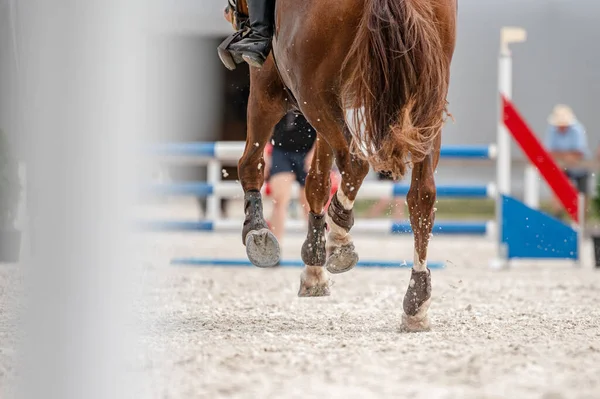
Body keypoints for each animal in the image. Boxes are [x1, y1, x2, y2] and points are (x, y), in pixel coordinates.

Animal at [224, 0, 454, 332]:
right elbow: (318, 181)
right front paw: (313, 263)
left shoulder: (268, 85)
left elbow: (250, 163)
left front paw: (257, 232)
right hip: (426, 98)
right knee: (421, 196)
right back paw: (416, 303)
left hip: (312, 93)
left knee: (356, 162)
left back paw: (340, 237)